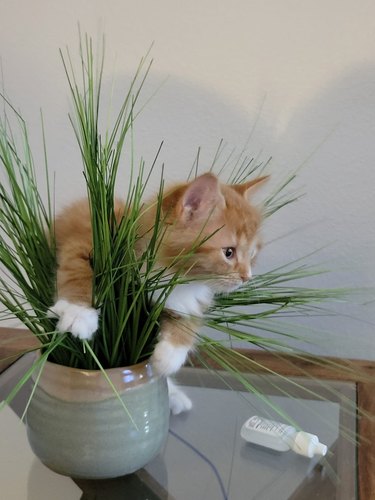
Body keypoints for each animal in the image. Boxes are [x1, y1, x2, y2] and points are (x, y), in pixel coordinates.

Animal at [50, 174, 268, 412]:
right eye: (229, 252)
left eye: (252, 254)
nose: (247, 277)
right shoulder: (86, 235)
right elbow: (78, 271)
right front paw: (78, 312)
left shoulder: (190, 300)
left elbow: (189, 321)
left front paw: (170, 355)